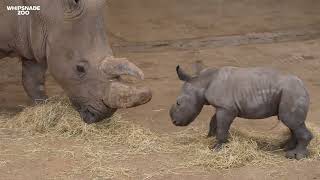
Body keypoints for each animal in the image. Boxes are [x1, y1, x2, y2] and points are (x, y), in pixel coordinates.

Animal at [0, 0, 152, 123]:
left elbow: (33, 81)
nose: (103, 116)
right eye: (80, 68)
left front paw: (44, 107)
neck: (47, 12)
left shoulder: (36, 43)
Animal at [170, 62, 312, 160]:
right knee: (292, 123)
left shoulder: (226, 108)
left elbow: (221, 128)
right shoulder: (222, 106)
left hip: (292, 92)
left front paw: (216, 149)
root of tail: (303, 85)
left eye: (178, 103)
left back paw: (296, 156)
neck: (200, 82)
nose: (174, 122)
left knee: (291, 121)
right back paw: (285, 147)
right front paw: (209, 137)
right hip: (290, 92)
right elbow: (214, 121)